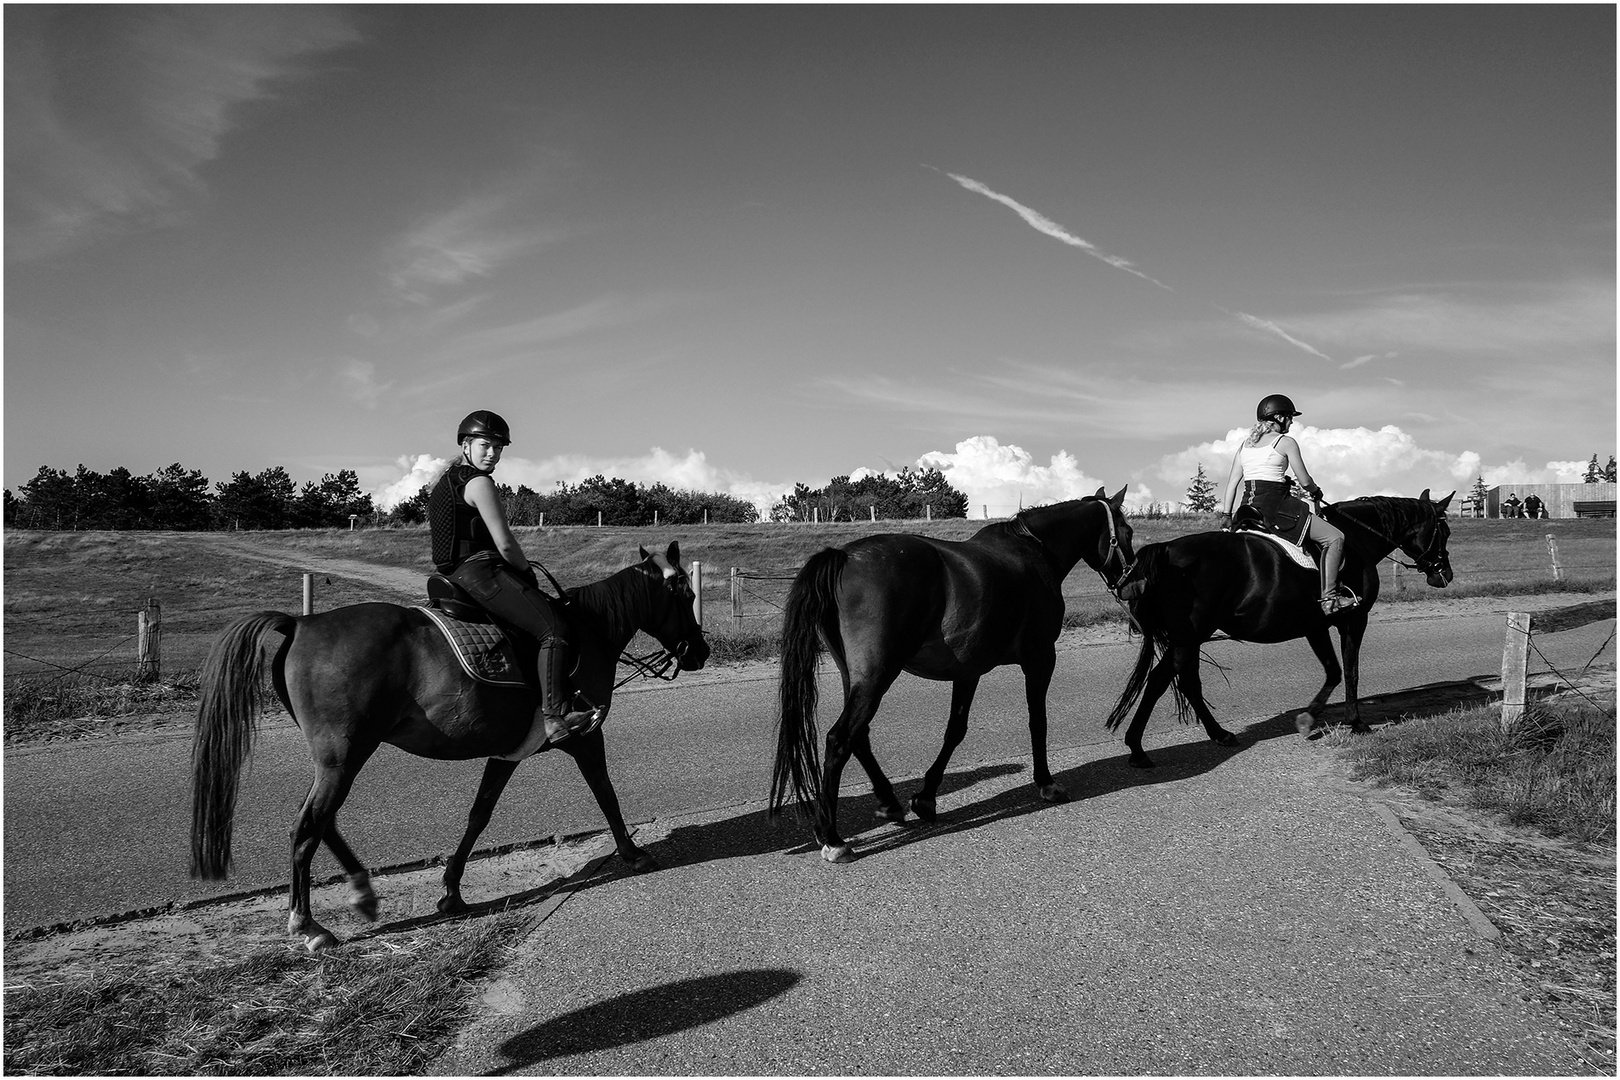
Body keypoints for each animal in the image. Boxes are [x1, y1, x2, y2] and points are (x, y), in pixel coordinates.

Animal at [186, 544, 706, 952]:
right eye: (686, 595)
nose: (699, 652)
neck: (587, 631)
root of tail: (301, 623)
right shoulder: (584, 737)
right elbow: (606, 793)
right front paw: (632, 852)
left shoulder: (506, 753)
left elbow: (479, 815)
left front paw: (452, 891)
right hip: (344, 755)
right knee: (308, 823)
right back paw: (310, 924)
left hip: (340, 758)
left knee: (321, 820)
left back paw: (359, 892)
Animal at [774, 488, 1140, 861]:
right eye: (1127, 532)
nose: (1132, 584)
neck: (1033, 550)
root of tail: (844, 556)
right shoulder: (1040, 659)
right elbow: (1038, 721)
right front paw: (1046, 782)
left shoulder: (969, 671)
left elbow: (955, 731)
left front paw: (925, 797)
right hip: (878, 675)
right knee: (840, 739)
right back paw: (832, 837)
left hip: (857, 676)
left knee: (858, 737)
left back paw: (889, 802)